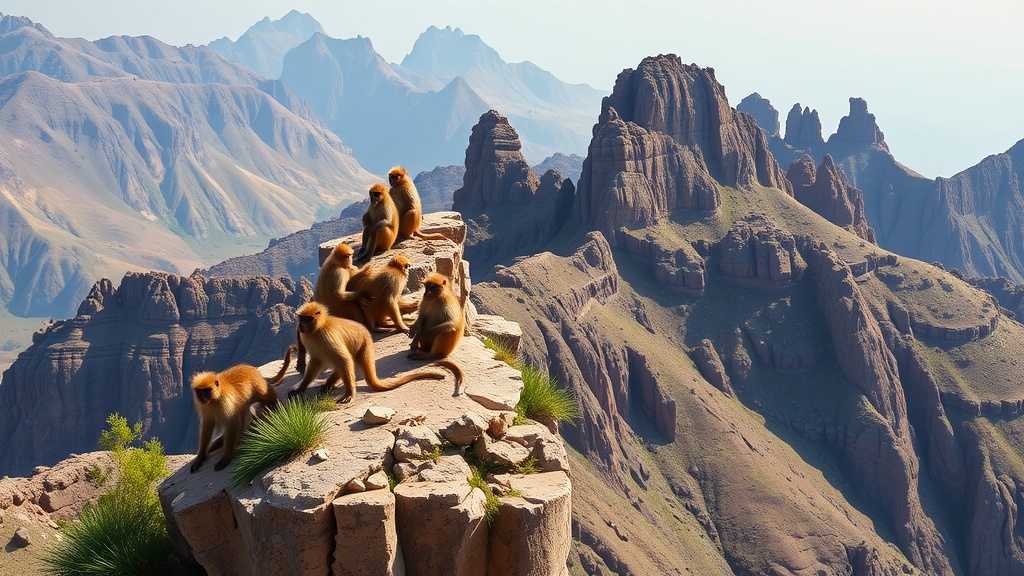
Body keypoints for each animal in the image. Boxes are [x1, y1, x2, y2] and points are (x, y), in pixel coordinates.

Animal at [292, 301, 460, 399]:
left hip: (363, 346)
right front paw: (301, 388)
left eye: (308, 319)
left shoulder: (326, 335)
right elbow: (316, 361)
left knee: (345, 360)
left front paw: (350, 393)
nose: (302, 325)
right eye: (302, 318)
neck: (317, 328)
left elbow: (343, 359)